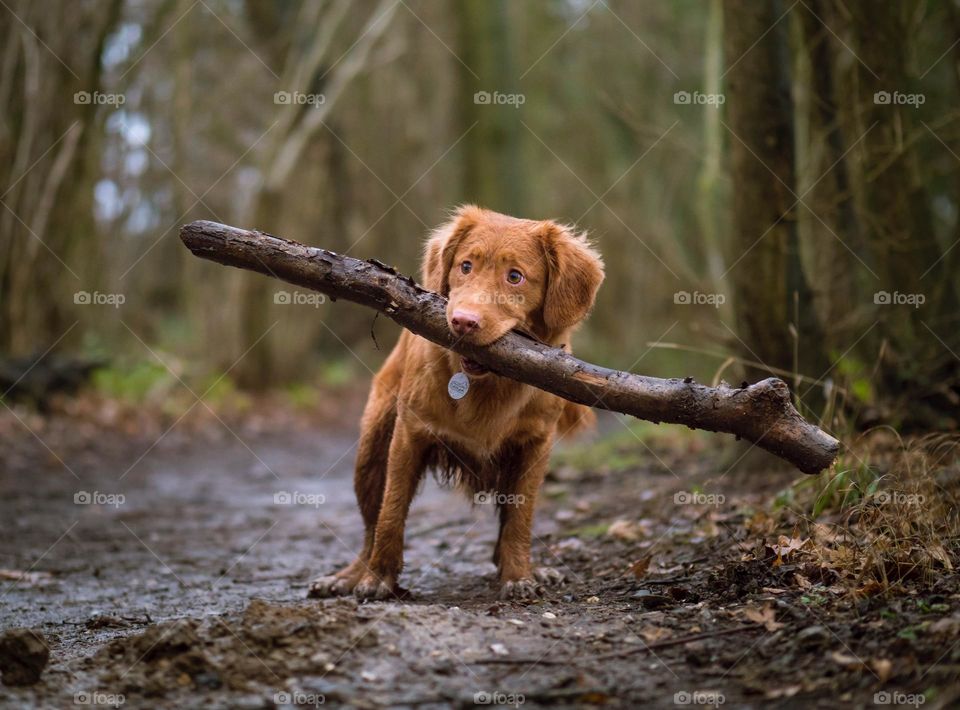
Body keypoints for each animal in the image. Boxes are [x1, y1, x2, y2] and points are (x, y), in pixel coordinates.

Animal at [312, 206, 604, 600]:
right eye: (466, 266)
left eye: (515, 277)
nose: (463, 322)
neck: (487, 384)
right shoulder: (409, 433)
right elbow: (391, 511)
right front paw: (378, 578)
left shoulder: (535, 445)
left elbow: (519, 518)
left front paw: (518, 575)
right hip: (371, 450)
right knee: (371, 524)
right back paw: (350, 575)